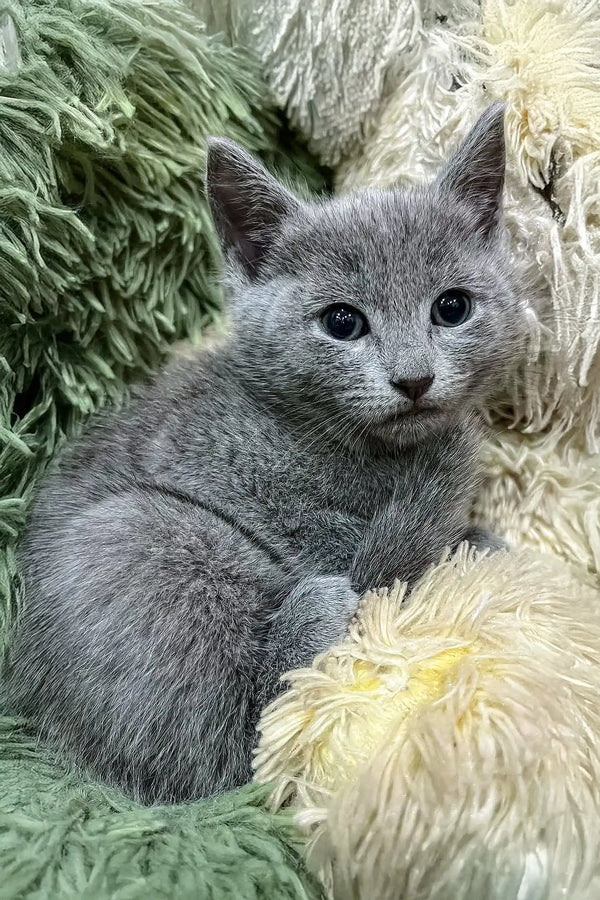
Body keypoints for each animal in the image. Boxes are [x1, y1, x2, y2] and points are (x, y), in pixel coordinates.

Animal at [3, 103, 520, 800]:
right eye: (342, 323)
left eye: (453, 308)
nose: (413, 379)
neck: (365, 449)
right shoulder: (214, 459)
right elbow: (329, 539)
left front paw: (472, 541)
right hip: (135, 536)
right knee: (234, 751)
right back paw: (310, 619)